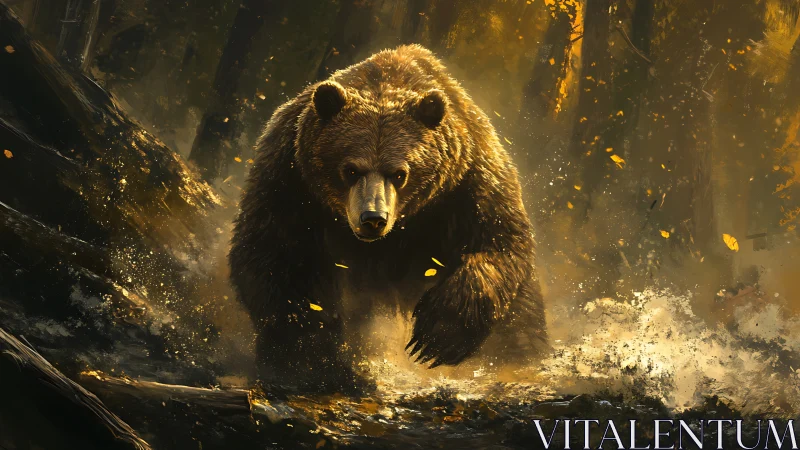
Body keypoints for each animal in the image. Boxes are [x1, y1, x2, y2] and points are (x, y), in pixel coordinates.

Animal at [229, 45, 547, 391]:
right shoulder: (289, 178)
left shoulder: (467, 181)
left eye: (399, 173)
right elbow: (275, 257)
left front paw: (433, 340)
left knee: (520, 321)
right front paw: (313, 360)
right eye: (350, 169)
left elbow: (499, 243)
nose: (373, 218)